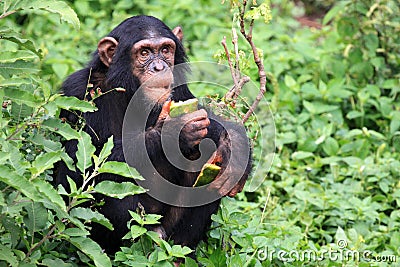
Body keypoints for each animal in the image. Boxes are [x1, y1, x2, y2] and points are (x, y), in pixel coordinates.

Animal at [55, 15, 252, 255]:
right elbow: (74, 176)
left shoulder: (179, 89)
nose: (159, 67)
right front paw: (173, 133)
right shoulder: (78, 92)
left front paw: (234, 151)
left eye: (165, 50)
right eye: (144, 53)